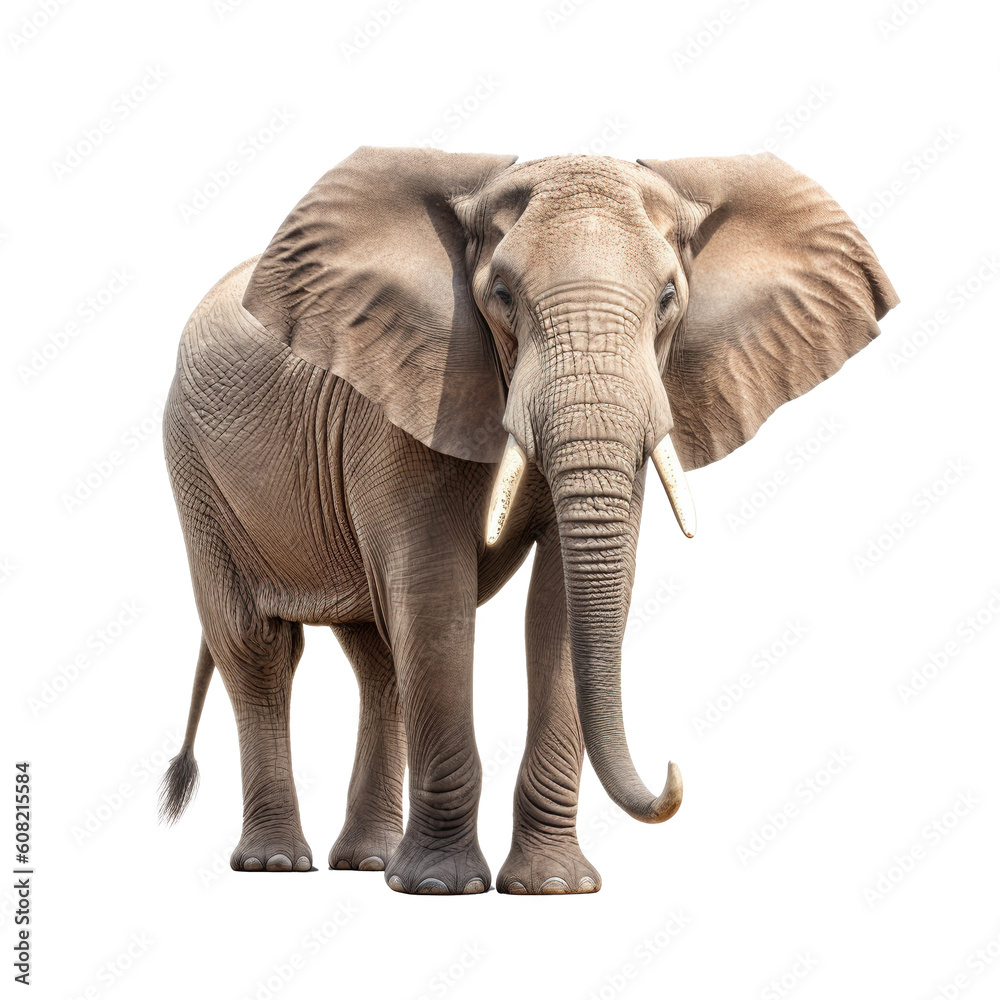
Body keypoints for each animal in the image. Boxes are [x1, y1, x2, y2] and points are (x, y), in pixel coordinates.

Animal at [159, 146, 897, 895]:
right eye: (502, 295)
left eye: (668, 297)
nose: (671, 776)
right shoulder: (404, 392)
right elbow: (434, 591)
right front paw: (439, 887)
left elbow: (561, 604)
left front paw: (551, 888)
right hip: (193, 466)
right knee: (258, 647)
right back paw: (276, 864)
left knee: (377, 655)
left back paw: (367, 862)